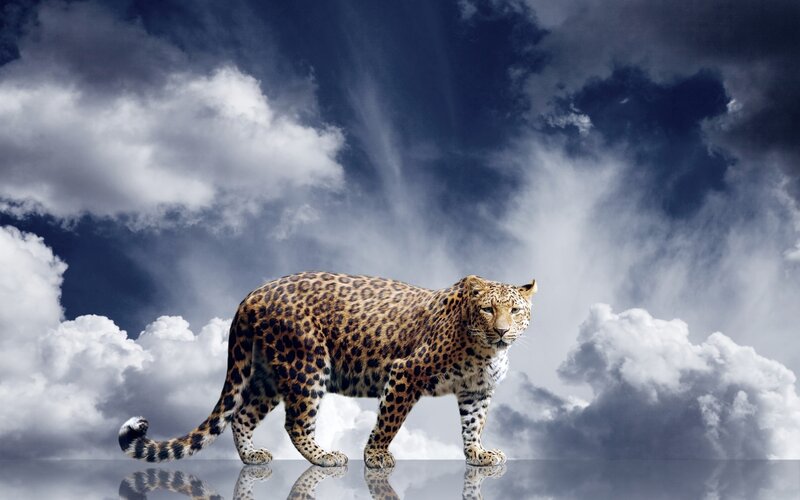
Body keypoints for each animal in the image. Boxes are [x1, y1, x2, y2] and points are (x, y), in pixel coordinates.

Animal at [119, 272, 537, 469]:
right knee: (295, 422)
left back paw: (252, 456)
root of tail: (252, 295)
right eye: (488, 309)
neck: (485, 350)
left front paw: (478, 454)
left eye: (515, 310)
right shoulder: (406, 371)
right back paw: (325, 456)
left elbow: (473, 424)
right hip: (307, 364)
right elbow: (389, 420)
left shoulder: (476, 391)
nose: (503, 331)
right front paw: (376, 456)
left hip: (269, 374)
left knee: (242, 414)